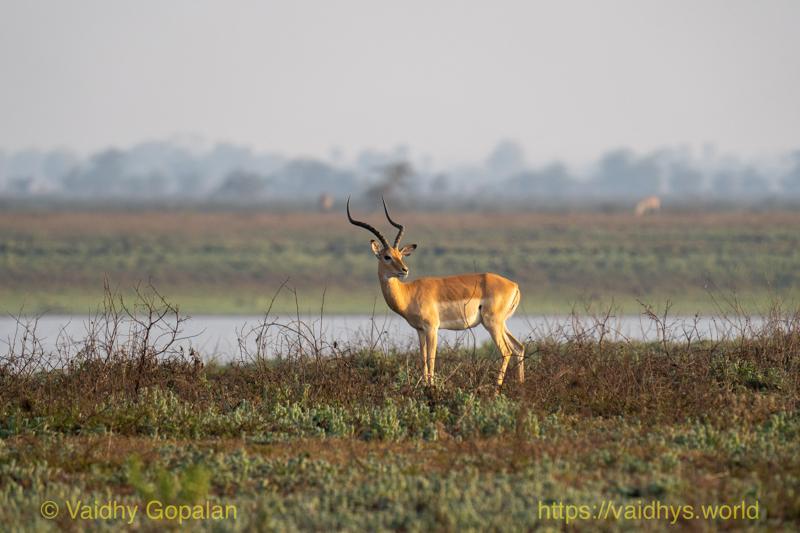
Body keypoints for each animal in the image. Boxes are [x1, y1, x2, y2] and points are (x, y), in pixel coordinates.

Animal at [346, 197, 525, 389]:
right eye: (387, 256)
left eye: (400, 255)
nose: (404, 270)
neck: (409, 293)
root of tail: (514, 285)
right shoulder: (420, 330)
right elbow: (423, 358)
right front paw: (424, 385)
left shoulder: (432, 328)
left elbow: (431, 359)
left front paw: (431, 387)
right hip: (500, 323)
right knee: (519, 347)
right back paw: (521, 385)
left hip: (492, 322)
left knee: (506, 351)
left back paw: (496, 389)